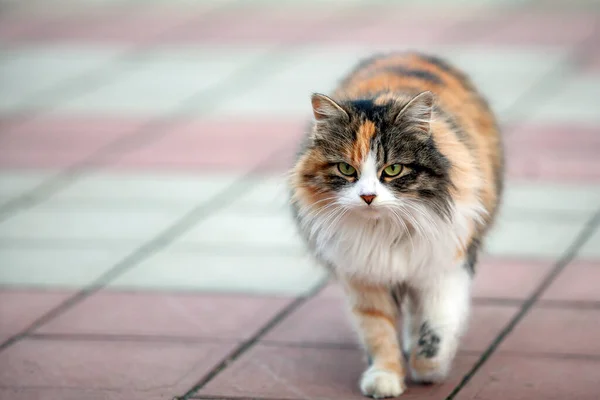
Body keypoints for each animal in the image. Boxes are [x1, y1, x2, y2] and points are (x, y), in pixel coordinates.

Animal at [288, 52, 504, 396]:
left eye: (392, 169)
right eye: (346, 169)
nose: (368, 196)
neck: (386, 231)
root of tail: (405, 53)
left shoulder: (444, 268)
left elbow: (437, 326)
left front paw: (428, 368)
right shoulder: (365, 279)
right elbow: (379, 333)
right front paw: (385, 379)